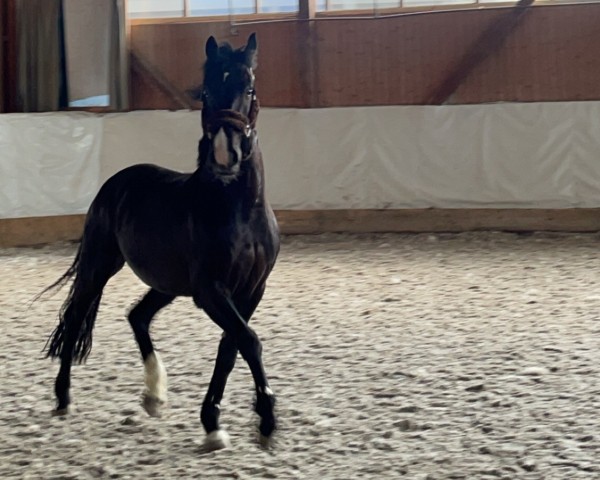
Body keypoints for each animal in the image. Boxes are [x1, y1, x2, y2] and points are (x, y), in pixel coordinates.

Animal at [41, 34, 280, 450]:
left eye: (249, 88)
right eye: (206, 90)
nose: (226, 154)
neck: (237, 210)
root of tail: (117, 182)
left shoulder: (251, 290)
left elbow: (230, 347)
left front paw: (213, 423)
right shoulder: (211, 290)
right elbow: (248, 341)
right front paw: (265, 420)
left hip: (167, 284)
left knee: (138, 316)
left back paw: (154, 395)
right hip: (99, 265)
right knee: (75, 319)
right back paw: (63, 397)